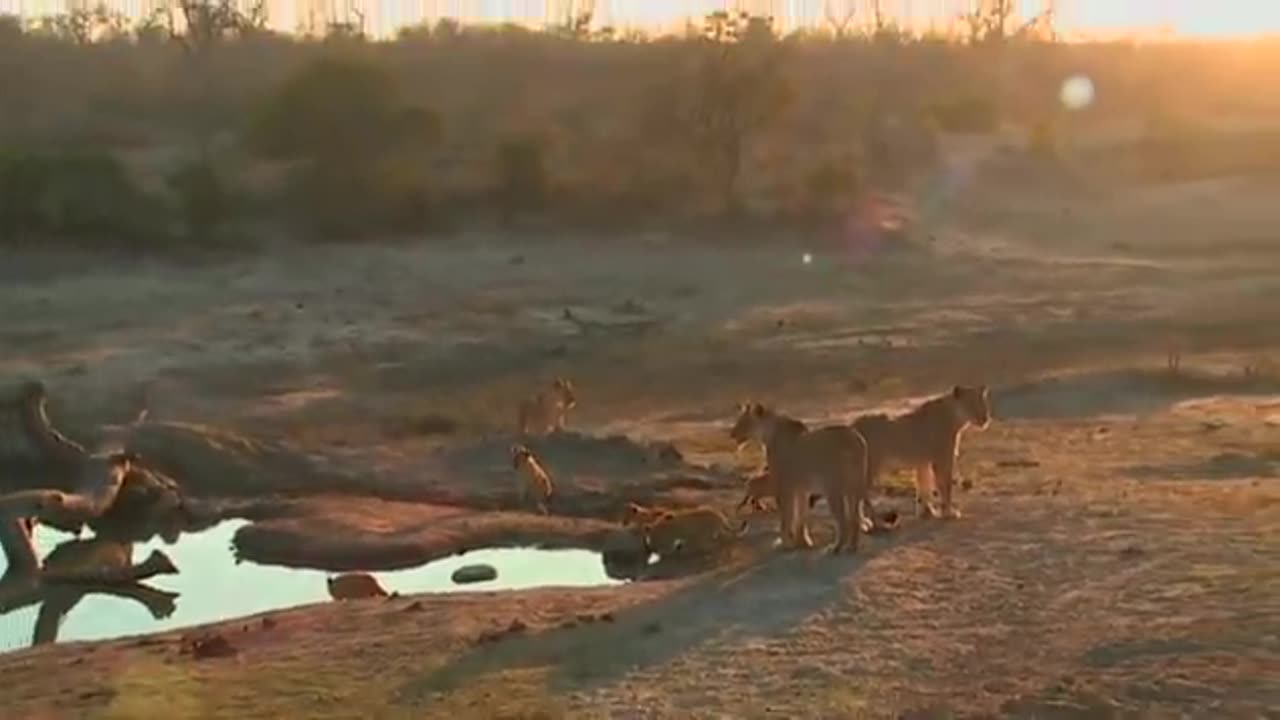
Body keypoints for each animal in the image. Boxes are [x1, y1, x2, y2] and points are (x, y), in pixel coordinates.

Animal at [732, 399, 870, 550]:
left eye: (743, 421)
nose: (732, 434)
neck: (768, 435)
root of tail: (856, 440)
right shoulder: (801, 488)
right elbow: (801, 516)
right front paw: (803, 542)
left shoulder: (784, 486)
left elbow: (787, 517)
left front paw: (786, 543)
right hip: (855, 487)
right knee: (855, 518)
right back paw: (852, 547)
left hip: (833, 488)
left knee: (843, 520)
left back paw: (836, 548)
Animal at [855, 384, 993, 517]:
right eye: (971, 404)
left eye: (983, 404)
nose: (985, 419)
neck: (954, 417)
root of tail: (854, 424)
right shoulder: (941, 459)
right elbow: (944, 485)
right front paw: (949, 512)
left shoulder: (923, 462)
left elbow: (924, 486)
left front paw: (928, 511)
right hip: (870, 466)